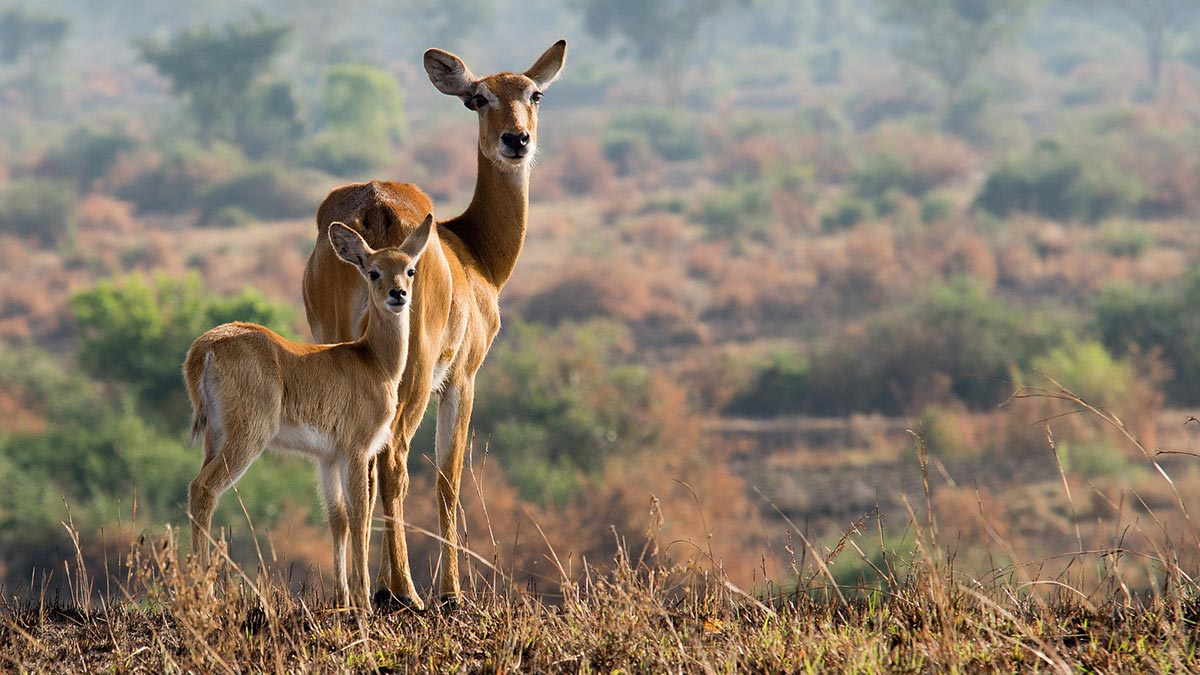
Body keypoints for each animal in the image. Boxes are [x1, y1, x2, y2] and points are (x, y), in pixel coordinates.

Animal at [182, 214, 436, 610]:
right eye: (373, 271)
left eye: (409, 269)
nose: (398, 294)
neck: (374, 361)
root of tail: (203, 349)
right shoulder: (356, 450)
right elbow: (360, 514)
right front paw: (364, 601)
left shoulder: (326, 458)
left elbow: (338, 518)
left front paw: (343, 598)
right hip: (246, 437)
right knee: (203, 488)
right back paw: (204, 595)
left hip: (216, 436)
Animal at [297, 39, 564, 607]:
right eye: (478, 97)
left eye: (534, 94)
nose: (516, 139)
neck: (476, 254)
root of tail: (374, 206)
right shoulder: (461, 380)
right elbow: (448, 476)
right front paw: (452, 592)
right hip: (414, 371)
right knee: (395, 461)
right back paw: (409, 593)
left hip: (342, 352)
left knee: (362, 465)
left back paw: (367, 591)